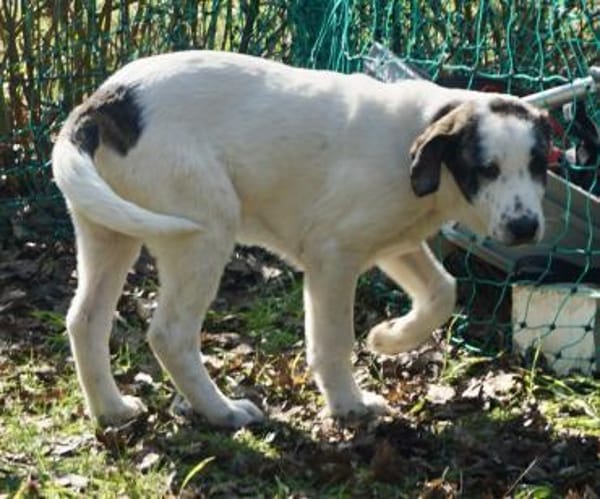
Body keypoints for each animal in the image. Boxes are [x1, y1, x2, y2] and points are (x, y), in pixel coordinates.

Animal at [52, 50, 551, 428]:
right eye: (486, 169)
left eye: (538, 164)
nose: (526, 228)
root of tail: (105, 103)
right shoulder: (333, 255)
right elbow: (332, 342)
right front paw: (350, 405)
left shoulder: (395, 241)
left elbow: (443, 290)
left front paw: (389, 338)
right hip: (202, 232)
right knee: (171, 334)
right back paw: (222, 413)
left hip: (110, 231)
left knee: (85, 320)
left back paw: (111, 410)